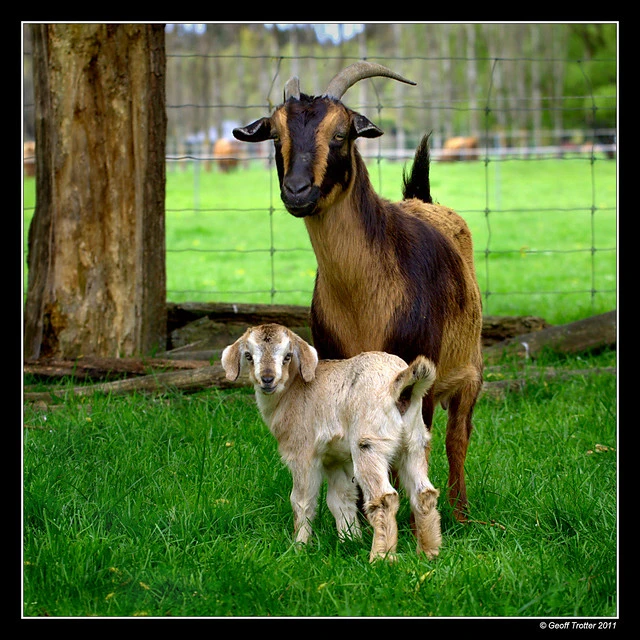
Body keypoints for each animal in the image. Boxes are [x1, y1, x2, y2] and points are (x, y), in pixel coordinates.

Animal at [232, 62, 482, 520]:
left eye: (341, 133)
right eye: (275, 134)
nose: (297, 191)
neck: (362, 298)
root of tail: (421, 199)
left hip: (470, 369)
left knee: (457, 437)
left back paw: (460, 512)